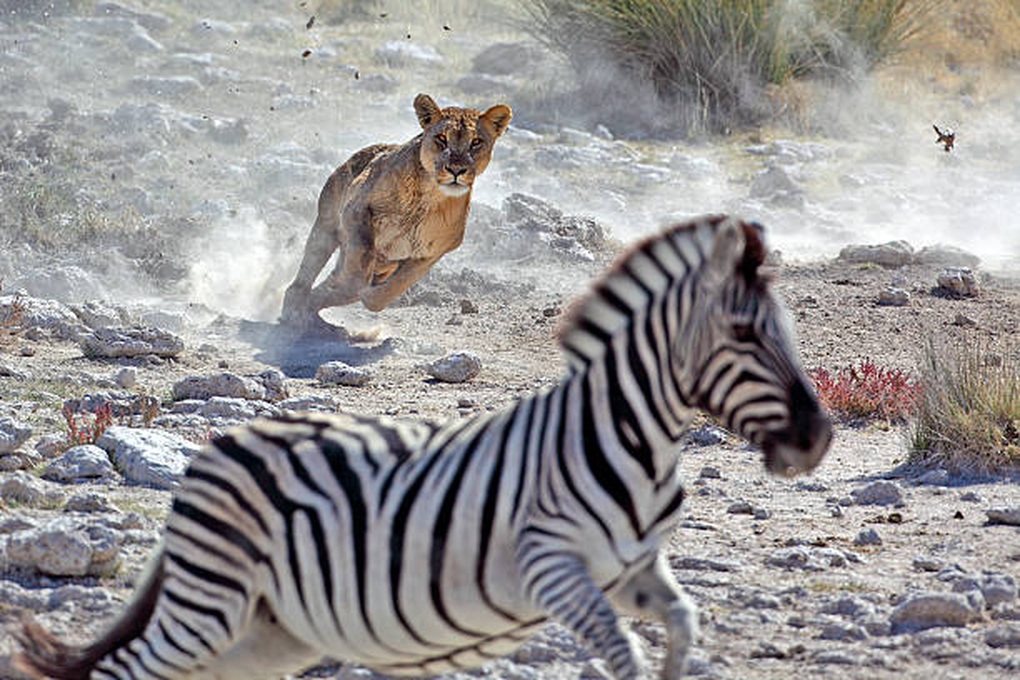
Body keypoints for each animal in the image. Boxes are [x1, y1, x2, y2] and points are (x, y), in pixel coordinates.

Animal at [17, 217, 828, 680]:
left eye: (789, 329)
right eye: (745, 334)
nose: (817, 437)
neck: (627, 439)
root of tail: (221, 447)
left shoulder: (632, 569)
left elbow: (685, 623)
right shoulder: (549, 567)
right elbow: (623, 653)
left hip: (271, 629)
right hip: (210, 605)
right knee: (128, 670)